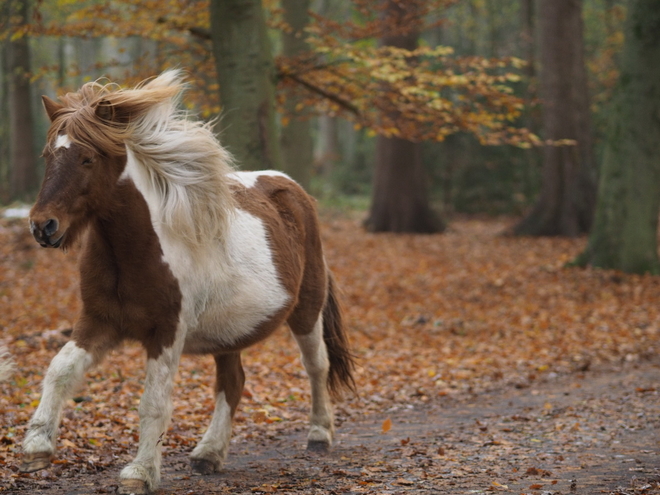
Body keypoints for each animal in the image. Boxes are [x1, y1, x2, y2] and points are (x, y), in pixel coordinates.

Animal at [21, 70, 356, 495]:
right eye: (48, 156)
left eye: (87, 158)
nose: (43, 226)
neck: (136, 250)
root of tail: (296, 193)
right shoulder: (99, 323)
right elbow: (59, 370)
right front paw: (36, 448)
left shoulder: (167, 332)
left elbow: (153, 403)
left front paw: (140, 473)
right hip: (231, 332)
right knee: (233, 382)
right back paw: (208, 454)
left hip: (306, 312)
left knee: (316, 367)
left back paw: (318, 435)